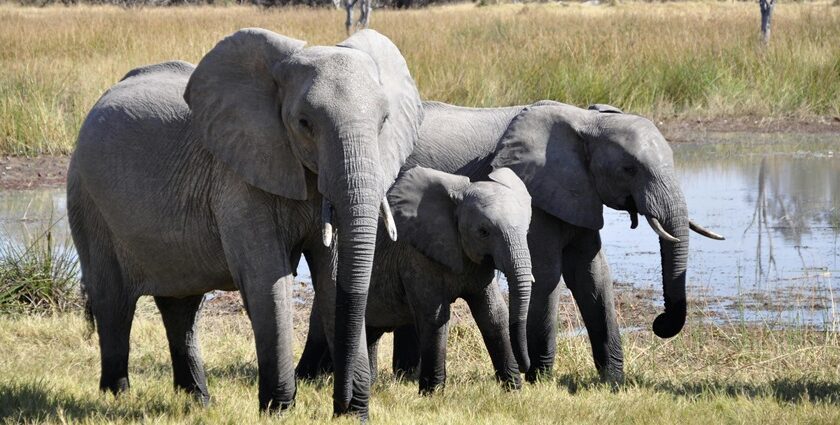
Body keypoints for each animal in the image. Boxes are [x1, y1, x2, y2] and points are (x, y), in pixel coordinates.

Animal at [66, 27, 424, 418]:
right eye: (304, 123)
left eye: (384, 121)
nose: (343, 404)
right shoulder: (237, 178)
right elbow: (267, 279)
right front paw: (278, 411)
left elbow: (332, 279)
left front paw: (353, 415)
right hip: (87, 198)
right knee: (113, 301)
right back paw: (117, 396)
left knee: (181, 306)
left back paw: (198, 401)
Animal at [352, 166, 536, 394]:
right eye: (483, 232)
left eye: (526, 230)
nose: (525, 367)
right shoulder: (416, 255)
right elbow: (435, 317)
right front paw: (433, 394)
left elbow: (493, 314)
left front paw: (513, 390)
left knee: (372, 331)